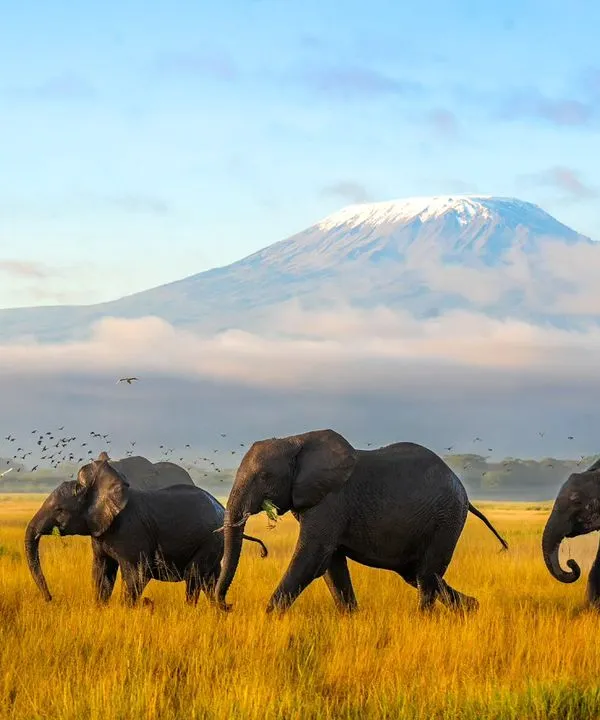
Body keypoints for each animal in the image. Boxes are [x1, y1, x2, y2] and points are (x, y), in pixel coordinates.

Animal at [24, 451, 268, 606]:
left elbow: (136, 575)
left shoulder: (131, 532)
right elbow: (102, 573)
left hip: (209, 541)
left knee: (194, 576)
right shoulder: (100, 533)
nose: (50, 599)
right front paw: (101, 608)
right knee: (211, 580)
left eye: (59, 510)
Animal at [214, 429, 508, 615]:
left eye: (265, 476)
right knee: (419, 574)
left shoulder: (331, 500)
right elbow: (331, 565)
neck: (295, 440)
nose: (229, 606)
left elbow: (312, 557)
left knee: (426, 576)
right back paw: (472, 609)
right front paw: (351, 618)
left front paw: (269, 617)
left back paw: (424, 620)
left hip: (446, 520)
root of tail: (463, 491)